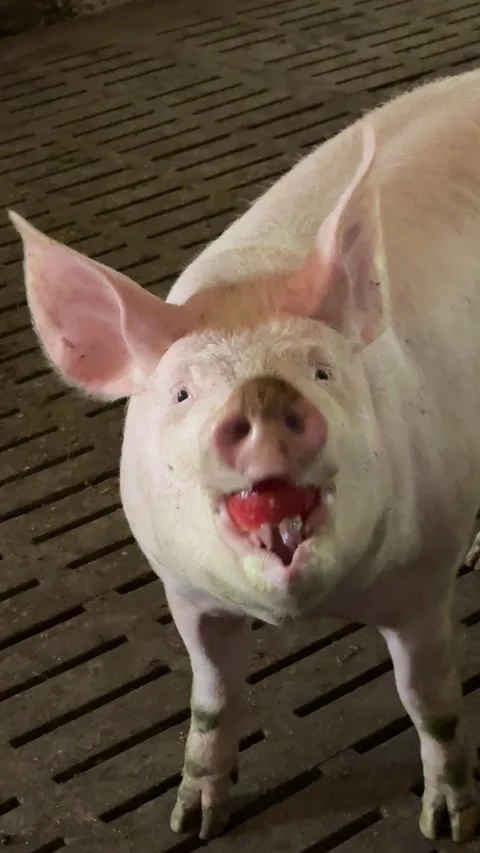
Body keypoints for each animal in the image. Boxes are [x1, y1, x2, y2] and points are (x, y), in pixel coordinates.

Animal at [9, 66, 480, 844]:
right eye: (182, 393)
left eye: (322, 370)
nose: (261, 396)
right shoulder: (184, 588)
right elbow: (213, 695)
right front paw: (192, 821)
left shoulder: (420, 582)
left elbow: (429, 702)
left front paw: (447, 825)